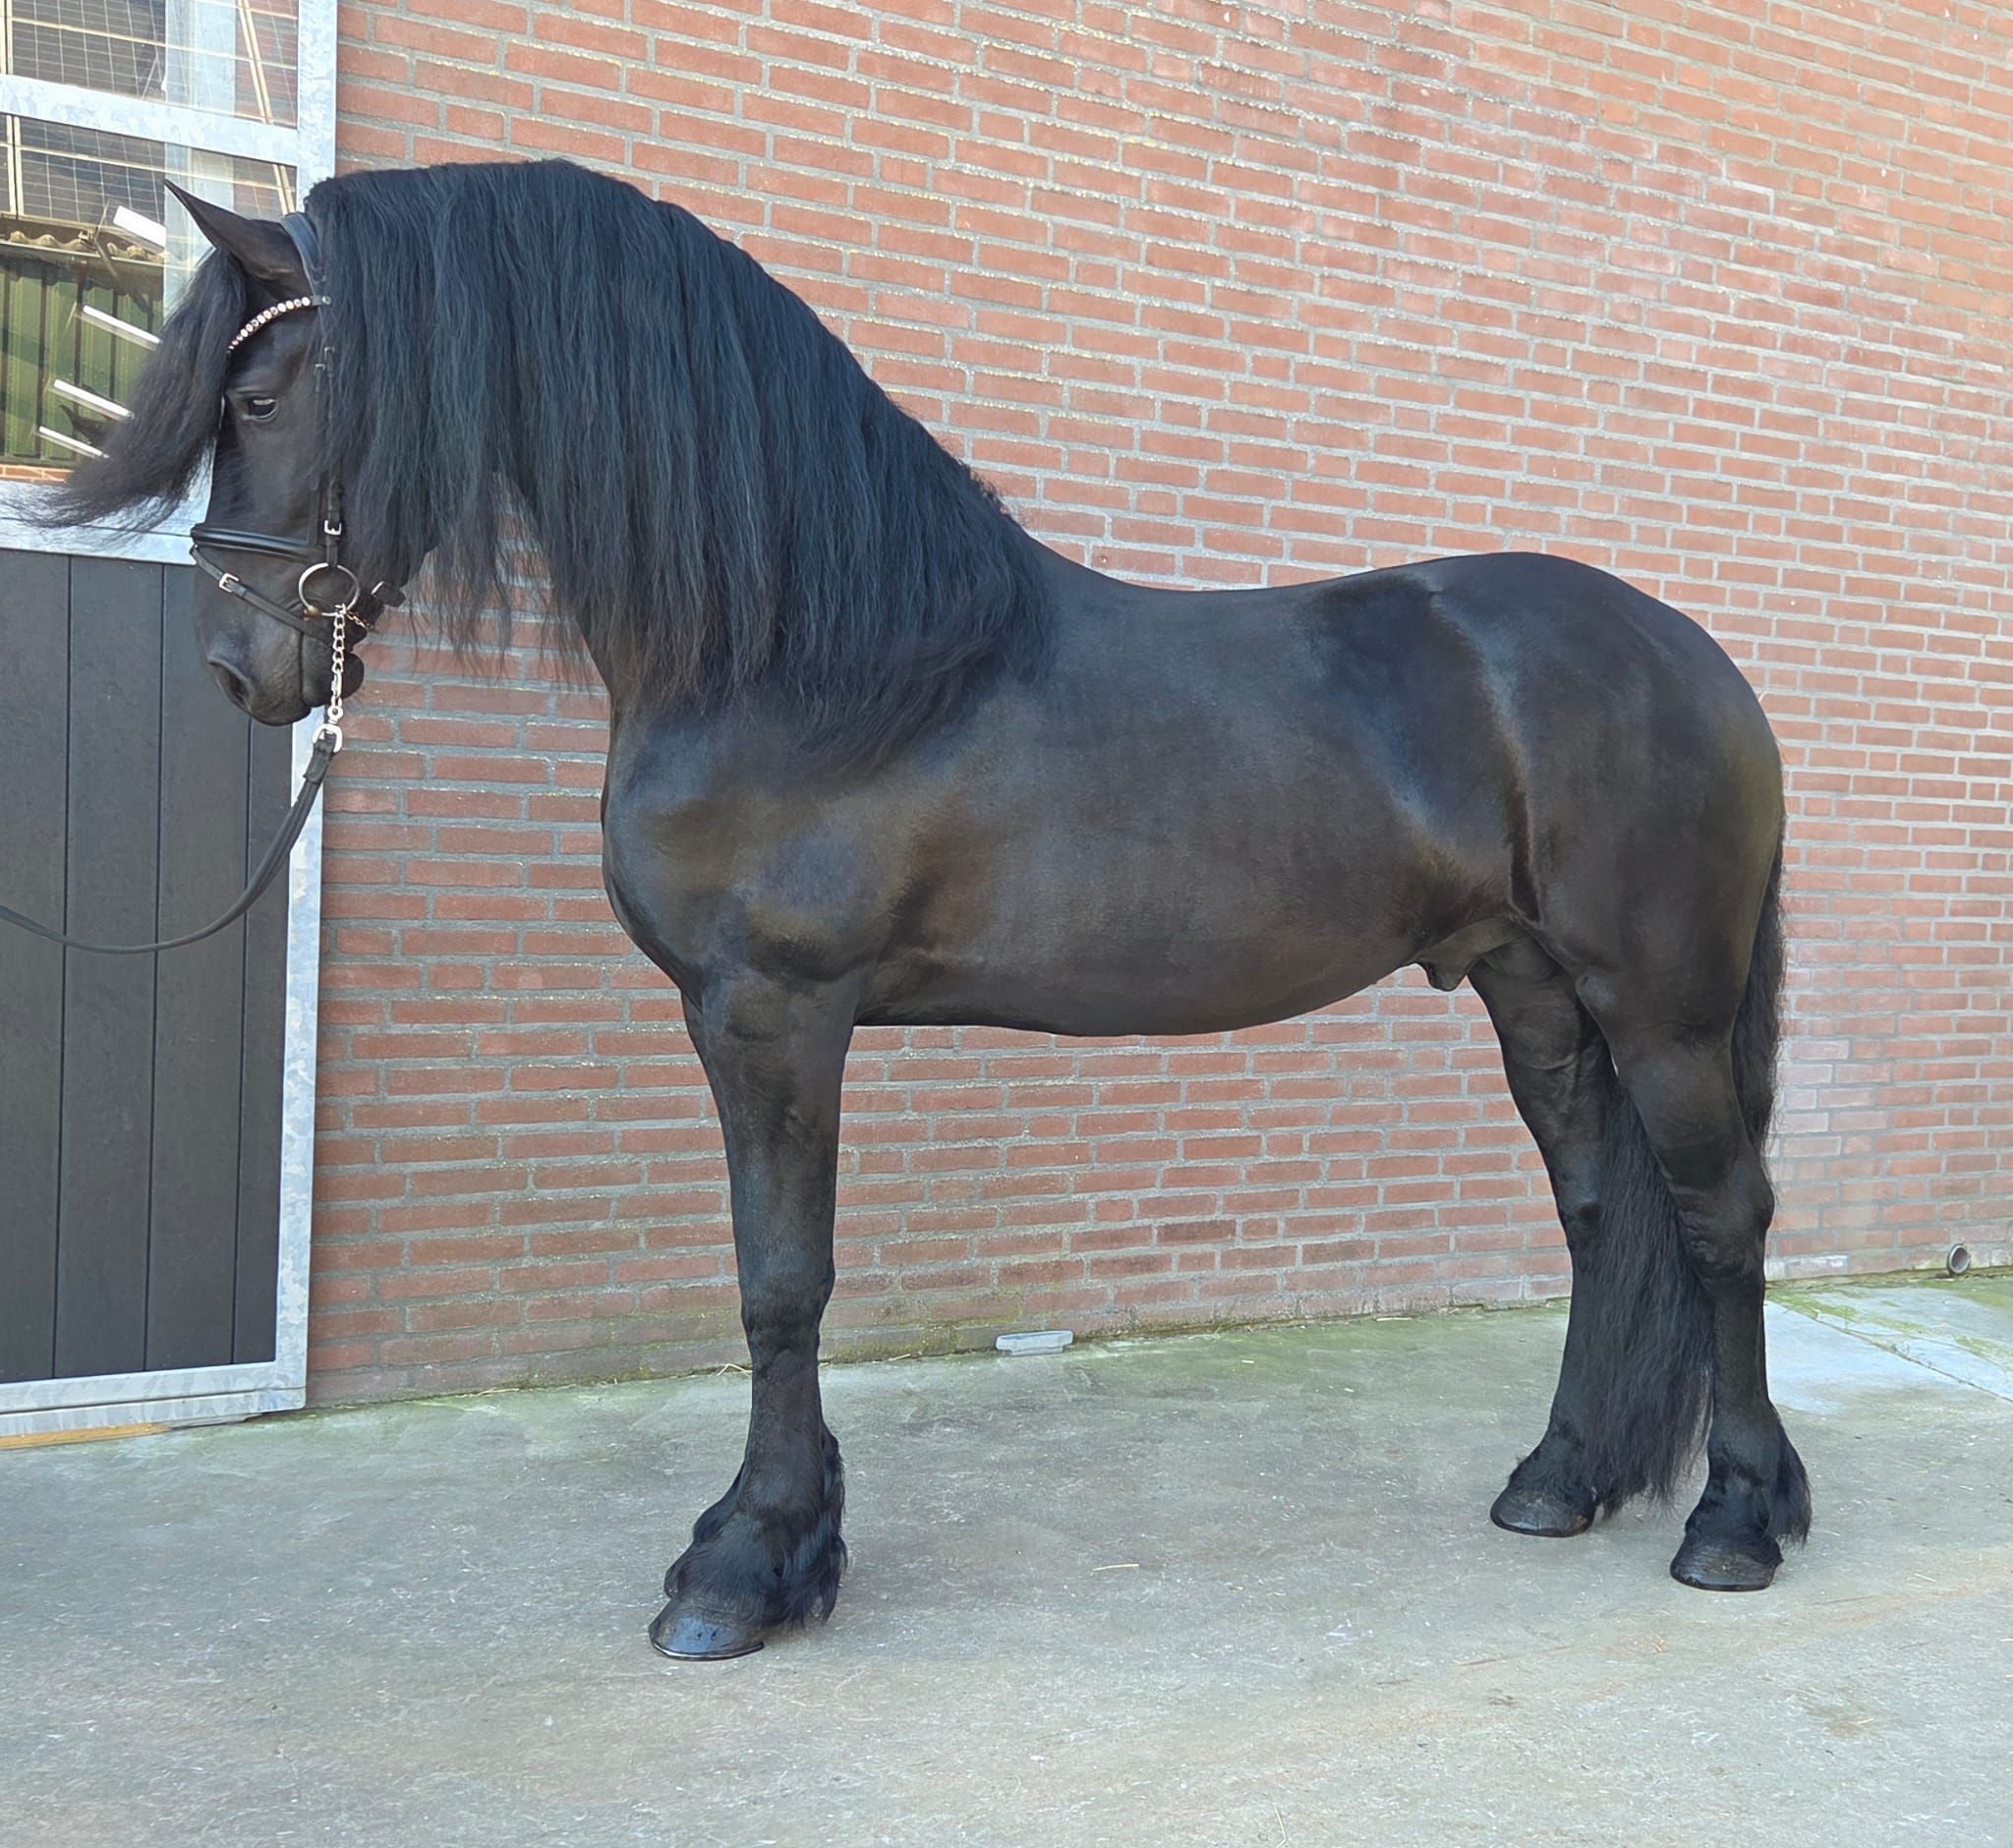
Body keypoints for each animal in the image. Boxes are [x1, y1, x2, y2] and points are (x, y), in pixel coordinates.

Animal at [50, 157, 1808, 1660]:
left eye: (257, 396)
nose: (241, 669)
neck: (807, 659)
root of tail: (1696, 659)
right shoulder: (748, 1022)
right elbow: (778, 1271)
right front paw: (786, 1539)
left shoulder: (773, 1013)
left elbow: (781, 1282)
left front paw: (742, 1570)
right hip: (1530, 986)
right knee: (1603, 1217)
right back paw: (1561, 1481)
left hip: (1660, 1005)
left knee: (1722, 1222)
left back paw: (1735, 1523)